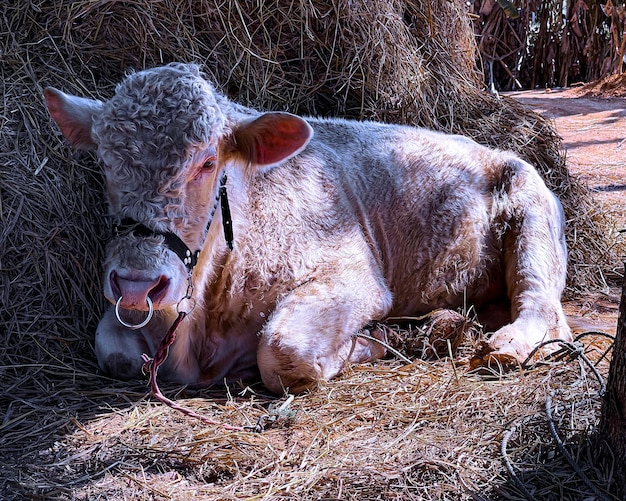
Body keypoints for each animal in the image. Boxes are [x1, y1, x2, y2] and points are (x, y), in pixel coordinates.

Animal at [44, 62, 572, 392]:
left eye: (208, 162)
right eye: (104, 162)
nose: (137, 284)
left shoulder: (354, 275)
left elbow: (282, 351)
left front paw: (379, 341)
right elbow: (112, 349)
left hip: (532, 216)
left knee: (544, 310)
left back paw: (500, 345)